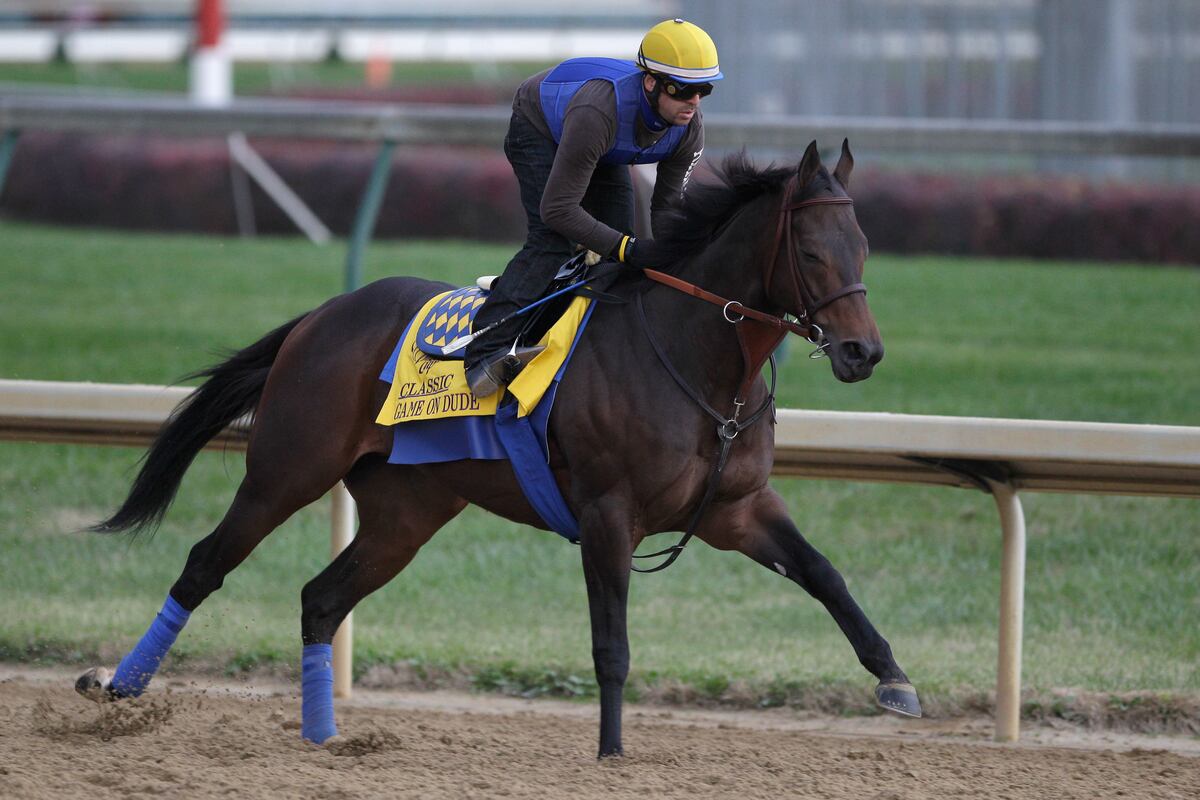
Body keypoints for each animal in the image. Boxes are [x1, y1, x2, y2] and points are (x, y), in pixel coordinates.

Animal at [77, 140, 921, 758]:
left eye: (863, 246)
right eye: (810, 253)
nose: (863, 352)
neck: (697, 362)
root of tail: (321, 315)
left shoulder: (737, 508)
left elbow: (825, 575)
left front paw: (896, 681)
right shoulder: (609, 513)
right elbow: (611, 643)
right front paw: (611, 752)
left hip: (406, 511)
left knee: (321, 598)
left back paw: (323, 736)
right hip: (288, 469)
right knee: (205, 565)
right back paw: (120, 687)